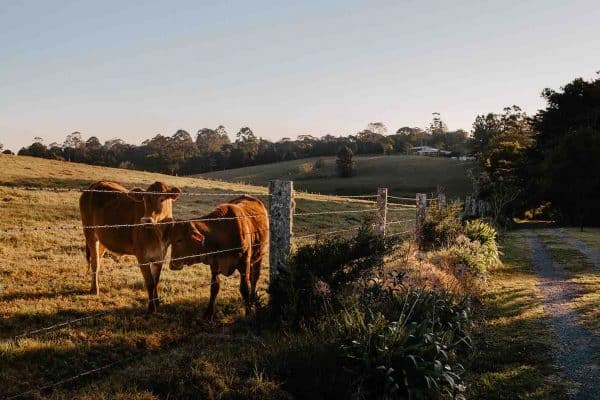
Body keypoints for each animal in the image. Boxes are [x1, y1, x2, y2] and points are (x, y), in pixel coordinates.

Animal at [80, 180, 183, 310]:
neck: (158, 234)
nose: (146, 220)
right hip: (89, 232)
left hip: (102, 239)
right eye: (144, 199)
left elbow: (156, 281)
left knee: (97, 259)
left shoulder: (160, 256)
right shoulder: (142, 256)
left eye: (162, 198)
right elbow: (150, 282)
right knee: (94, 262)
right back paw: (94, 289)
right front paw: (151, 308)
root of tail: (97, 183)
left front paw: (157, 303)